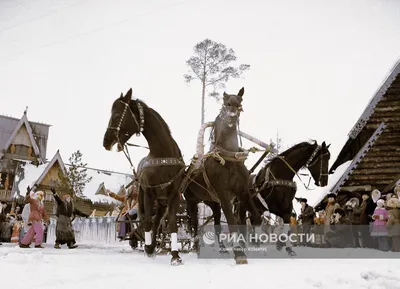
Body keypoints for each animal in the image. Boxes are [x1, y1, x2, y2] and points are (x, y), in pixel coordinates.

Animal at [102, 88, 185, 266]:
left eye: (117, 115)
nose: (106, 141)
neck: (163, 155)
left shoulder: (174, 196)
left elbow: (171, 224)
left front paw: (175, 255)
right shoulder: (148, 193)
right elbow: (146, 221)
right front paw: (148, 248)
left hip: (162, 203)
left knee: (158, 221)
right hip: (148, 198)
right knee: (149, 221)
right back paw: (149, 246)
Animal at [182, 87, 262, 264]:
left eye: (239, 104)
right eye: (226, 103)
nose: (231, 116)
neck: (228, 160)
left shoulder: (243, 192)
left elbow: (255, 217)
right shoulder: (224, 195)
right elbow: (232, 222)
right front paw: (239, 253)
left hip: (213, 203)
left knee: (216, 224)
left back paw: (223, 249)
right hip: (191, 202)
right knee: (193, 224)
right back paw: (195, 246)